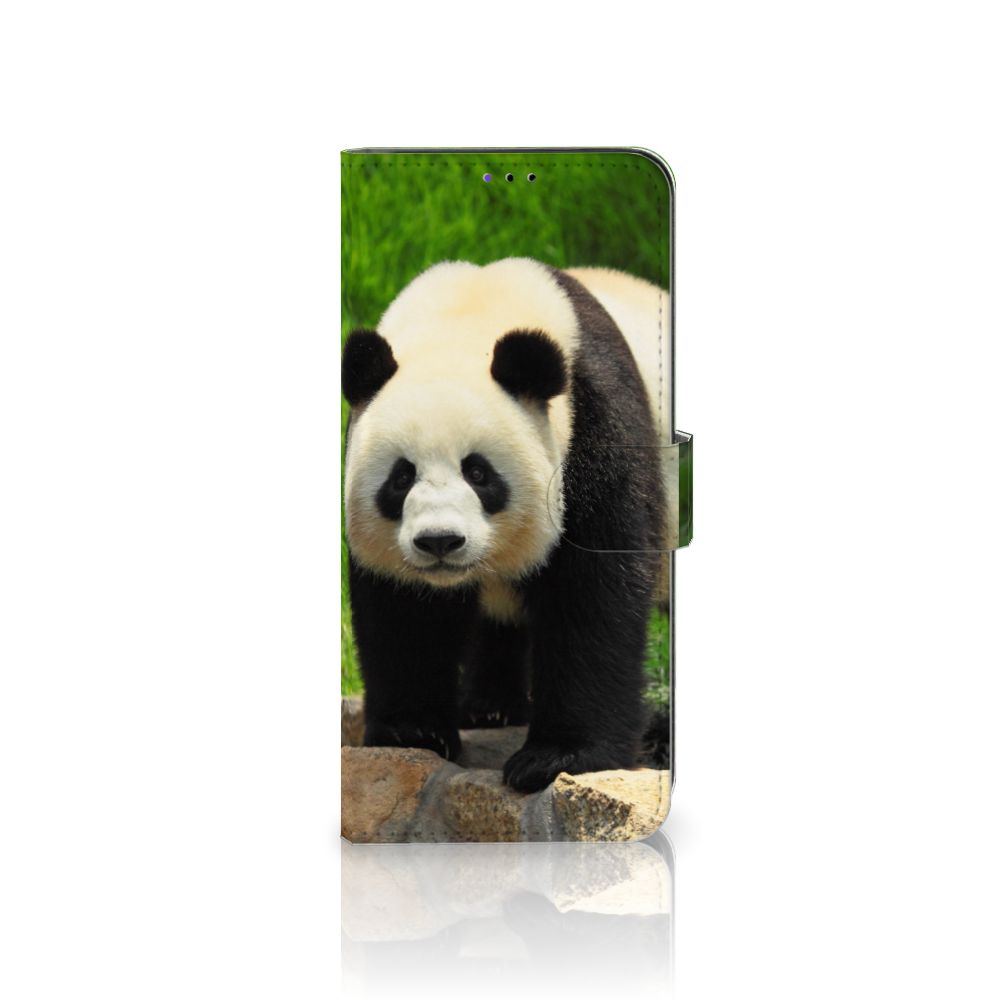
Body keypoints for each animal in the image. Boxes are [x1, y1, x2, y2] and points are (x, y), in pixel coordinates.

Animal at [342, 257, 672, 793]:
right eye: (401, 476)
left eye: (478, 473)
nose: (439, 541)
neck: (467, 314)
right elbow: (404, 610)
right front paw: (412, 732)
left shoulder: (595, 426)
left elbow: (594, 593)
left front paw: (556, 757)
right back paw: (490, 707)